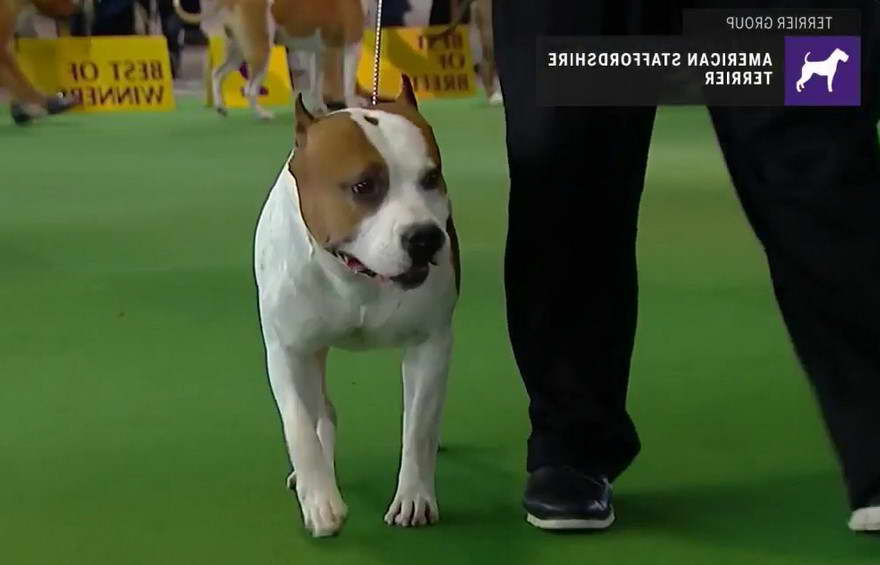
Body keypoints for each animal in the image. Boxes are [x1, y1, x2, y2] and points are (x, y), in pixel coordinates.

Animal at [174, 0, 366, 118]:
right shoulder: (352, 44)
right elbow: (349, 85)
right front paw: (354, 106)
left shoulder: (320, 52)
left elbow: (316, 86)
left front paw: (321, 109)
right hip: (260, 50)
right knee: (250, 89)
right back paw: (262, 115)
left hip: (238, 52)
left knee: (217, 73)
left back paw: (221, 107)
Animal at [253, 77, 460, 536]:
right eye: (363, 187)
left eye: (431, 178)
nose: (425, 237)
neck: (357, 277)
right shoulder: (288, 351)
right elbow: (299, 425)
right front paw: (319, 500)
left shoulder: (430, 344)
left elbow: (418, 427)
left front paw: (414, 496)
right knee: (321, 412)